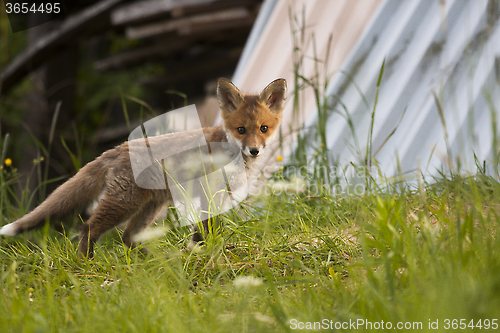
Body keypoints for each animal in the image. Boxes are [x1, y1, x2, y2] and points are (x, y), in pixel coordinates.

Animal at [0, 79, 288, 258]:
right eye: (241, 130)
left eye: (263, 128)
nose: (254, 150)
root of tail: (115, 149)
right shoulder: (208, 192)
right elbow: (208, 228)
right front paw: (207, 250)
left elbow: (202, 230)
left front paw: (198, 250)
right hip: (124, 203)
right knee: (88, 228)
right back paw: (86, 263)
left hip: (150, 206)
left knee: (128, 237)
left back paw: (152, 259)